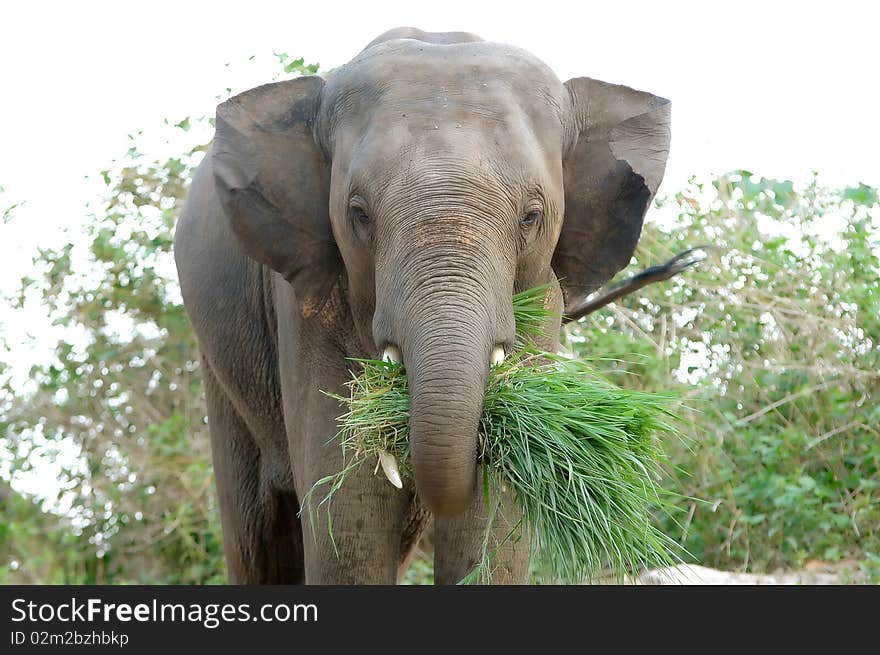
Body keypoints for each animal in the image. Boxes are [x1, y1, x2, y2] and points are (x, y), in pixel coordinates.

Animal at [175, 25, 672, 584]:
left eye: (531, 216)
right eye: (358, 213)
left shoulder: (543, 293)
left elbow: (495, 514)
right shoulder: (309, 301)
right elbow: (349, 513)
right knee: (257, 539)